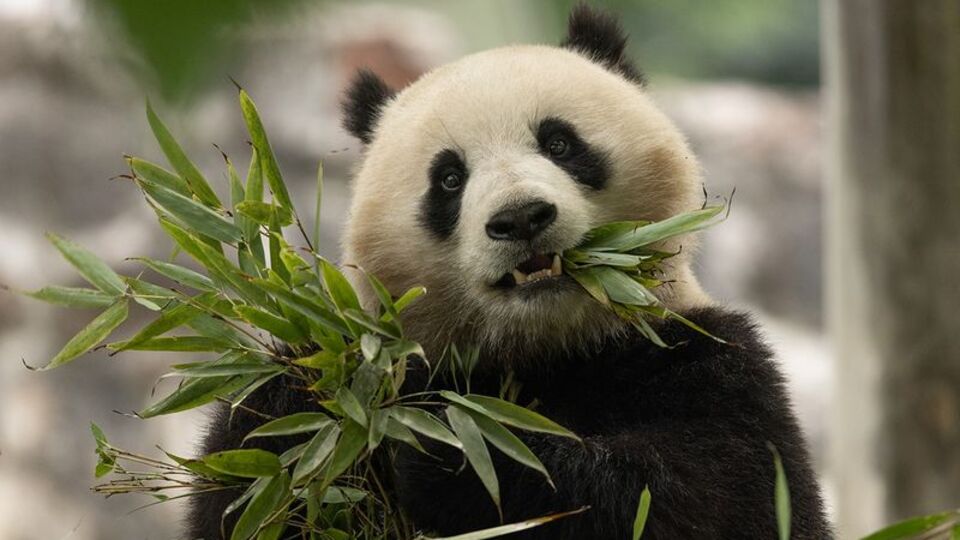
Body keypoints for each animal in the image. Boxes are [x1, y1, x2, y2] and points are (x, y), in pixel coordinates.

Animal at [187, 5, 831, 539]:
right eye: (449, 179)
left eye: (560, 143)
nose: (521, 218)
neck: (544, 348)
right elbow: (250, 475)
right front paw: (304, 404)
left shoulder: (710, 362)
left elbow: (706, 496)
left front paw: (453, 454)